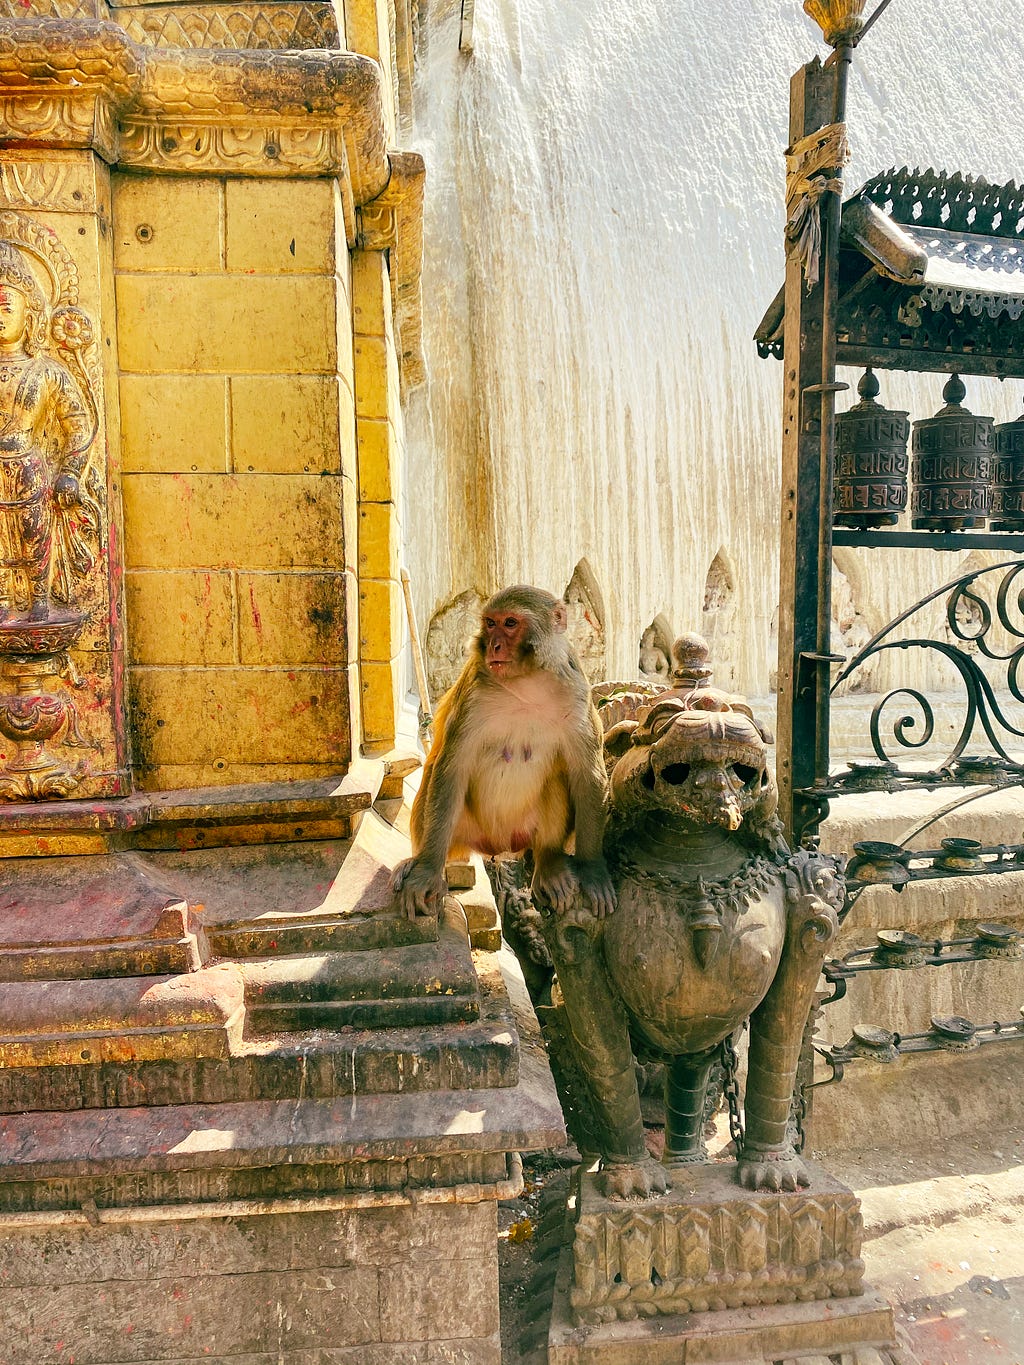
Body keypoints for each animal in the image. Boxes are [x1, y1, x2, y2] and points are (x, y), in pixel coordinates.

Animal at [393, 581, 617, 922]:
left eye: (510, 623)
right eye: (490, 623)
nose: (493, 646)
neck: (527, 684)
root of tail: (498, 848)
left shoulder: (578, 693)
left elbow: (587, 774)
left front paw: (592, 870)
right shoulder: (474, 696)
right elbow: (452, 768)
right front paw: (426, 872)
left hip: (524, 831)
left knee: (558, 777)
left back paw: (549, 862)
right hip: (462, 831)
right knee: (434, 774)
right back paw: (418, 862)